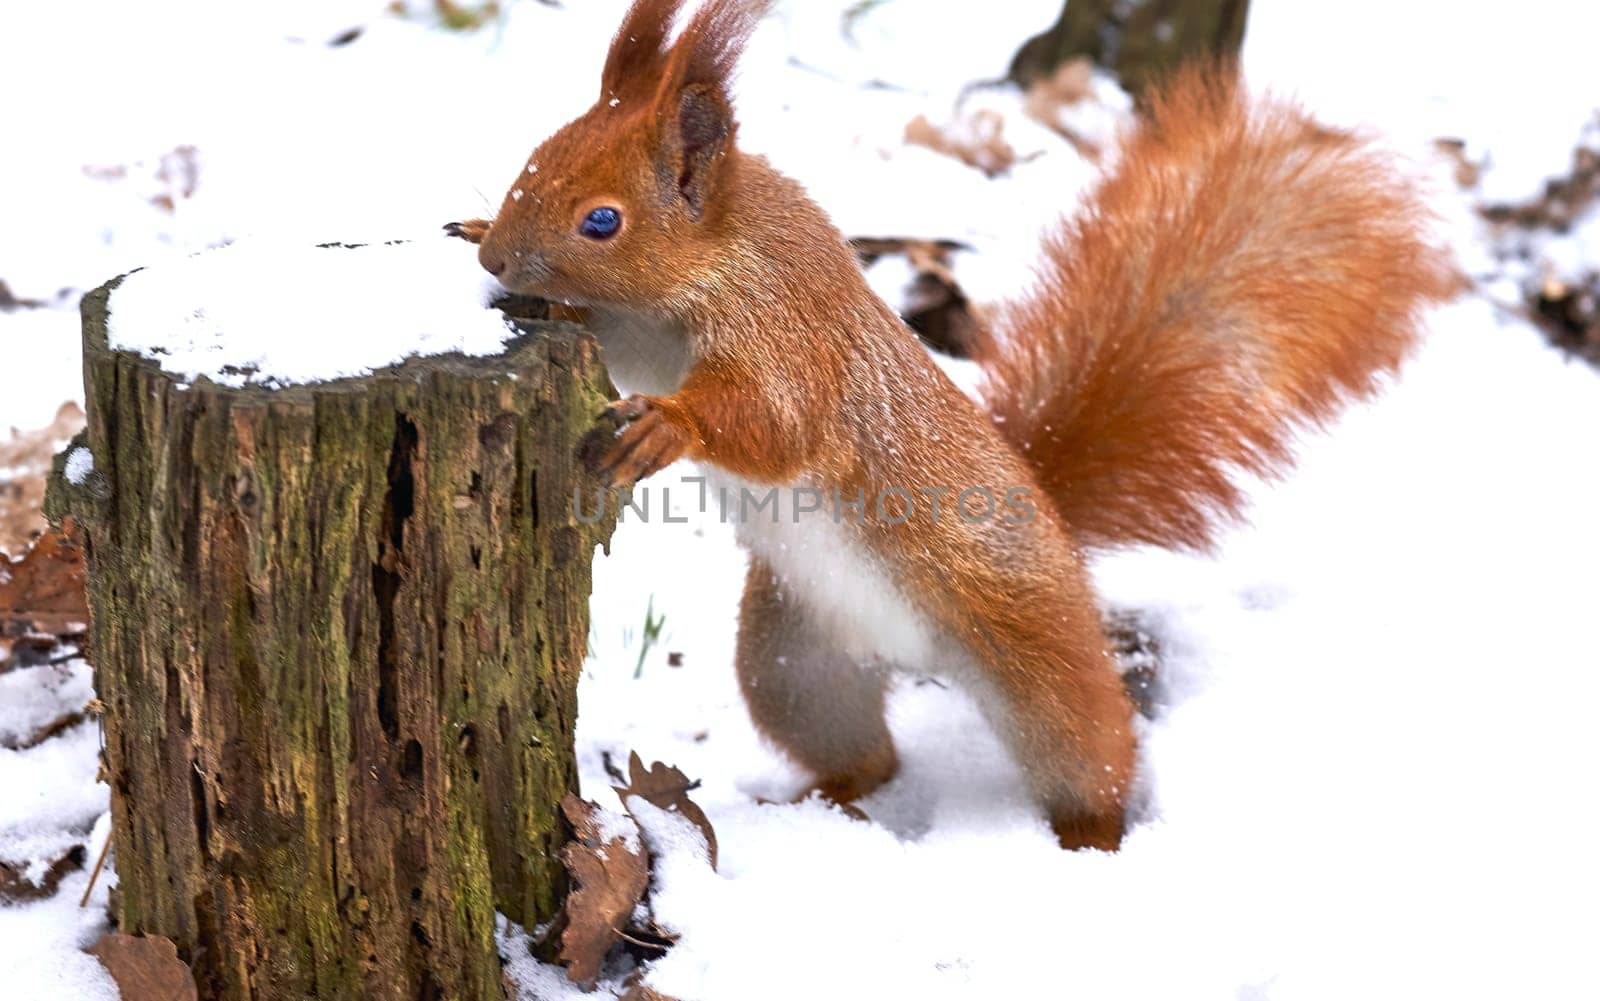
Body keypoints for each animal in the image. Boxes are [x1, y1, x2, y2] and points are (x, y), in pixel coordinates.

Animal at [444, 0, 1459, 850]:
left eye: (602, 221)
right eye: (534, 157)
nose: (497, 258)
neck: (710, 264)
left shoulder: (790, 332)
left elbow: (774, 423)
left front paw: (668, 426)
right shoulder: (635, 333)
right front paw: (474, 241)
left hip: (1041, 663)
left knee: (1096, 752)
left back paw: (1089, 843)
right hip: (794, 661)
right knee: (868, 754)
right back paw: (816, 804)